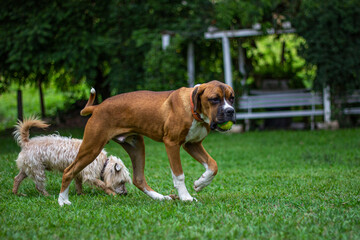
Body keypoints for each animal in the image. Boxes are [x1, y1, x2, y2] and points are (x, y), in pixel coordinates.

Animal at [57, 81, 235, 206]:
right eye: (214, 99)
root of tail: (97, 107)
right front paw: (186, 198)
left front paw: (201, 182)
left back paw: (161, 198)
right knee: (69, 170)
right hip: (92, 147)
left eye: (232, 98)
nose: (231, 111)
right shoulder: (172, 144)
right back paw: (62, 200)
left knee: (138, 179)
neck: (193, 110)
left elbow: (213, 165)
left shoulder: (193, 144)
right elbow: (179, 175)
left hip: (136, 146)